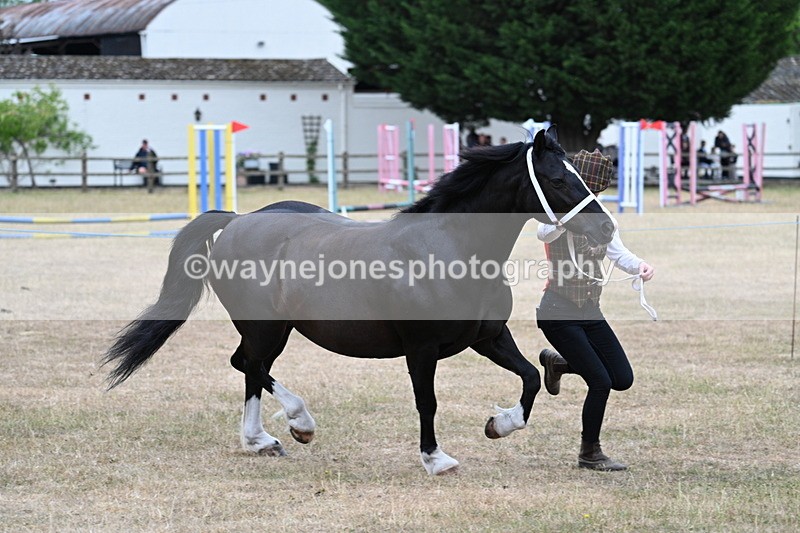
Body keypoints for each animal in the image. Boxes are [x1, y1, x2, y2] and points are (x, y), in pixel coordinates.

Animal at [102, 126, 616, 475]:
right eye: (557, 179)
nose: (606, 227)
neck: (450, 247)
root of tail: (236, 220)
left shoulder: (487, 337)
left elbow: (531, 377)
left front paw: (499, 424)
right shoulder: (421, 349)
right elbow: (427, 402)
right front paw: (436, 458)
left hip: (273, 329)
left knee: (247, 366)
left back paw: (272, 436)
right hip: (265, 327)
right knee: (250, 365)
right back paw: (288, 427)